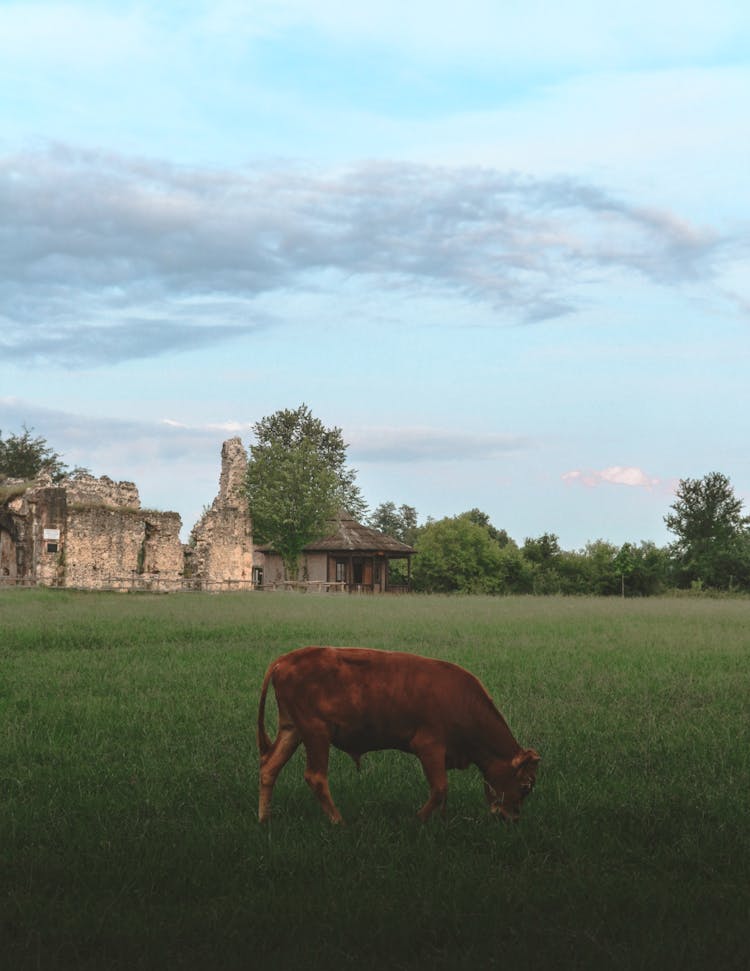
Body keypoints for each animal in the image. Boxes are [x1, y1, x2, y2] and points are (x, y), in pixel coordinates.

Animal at [258, 648, 540, 824]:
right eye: (525, 785)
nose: (511, 818)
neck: (461, 700)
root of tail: (287, 659)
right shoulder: (429, 747)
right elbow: (440, 788)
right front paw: (418, 819)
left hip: (293, 729)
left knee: (270, 768)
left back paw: (264, 818)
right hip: (316, 733)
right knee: (315, 777)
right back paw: (339, 821)